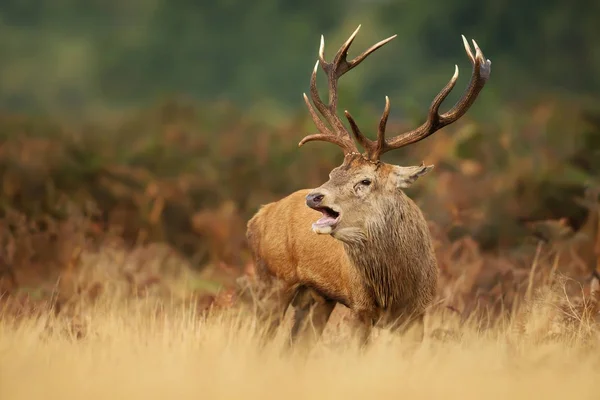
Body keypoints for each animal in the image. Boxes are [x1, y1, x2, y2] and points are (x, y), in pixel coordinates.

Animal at [245, 25, 492, 350]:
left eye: (365, 180)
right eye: (333, 172)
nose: (314, 196)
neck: (395, 289)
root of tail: (257, 218)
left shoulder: (419, 312)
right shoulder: (359, 306)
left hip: (316, 298)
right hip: (272, 279)